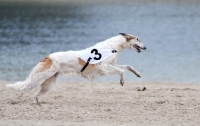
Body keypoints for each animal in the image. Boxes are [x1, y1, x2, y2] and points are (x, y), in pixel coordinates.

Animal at [6, 33, 147, 103]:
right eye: (138, 39)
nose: (145, 47)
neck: (113, 46)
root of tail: (47, 57)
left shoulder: (111, 65)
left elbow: (127, 66)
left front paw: (137, 73)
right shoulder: (104, 66)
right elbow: (122, 70)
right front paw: (122, 81)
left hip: (48, 83)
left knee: (35, 95)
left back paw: (39, 103)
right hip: (39, 79)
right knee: (23, 89)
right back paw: (13, 100)